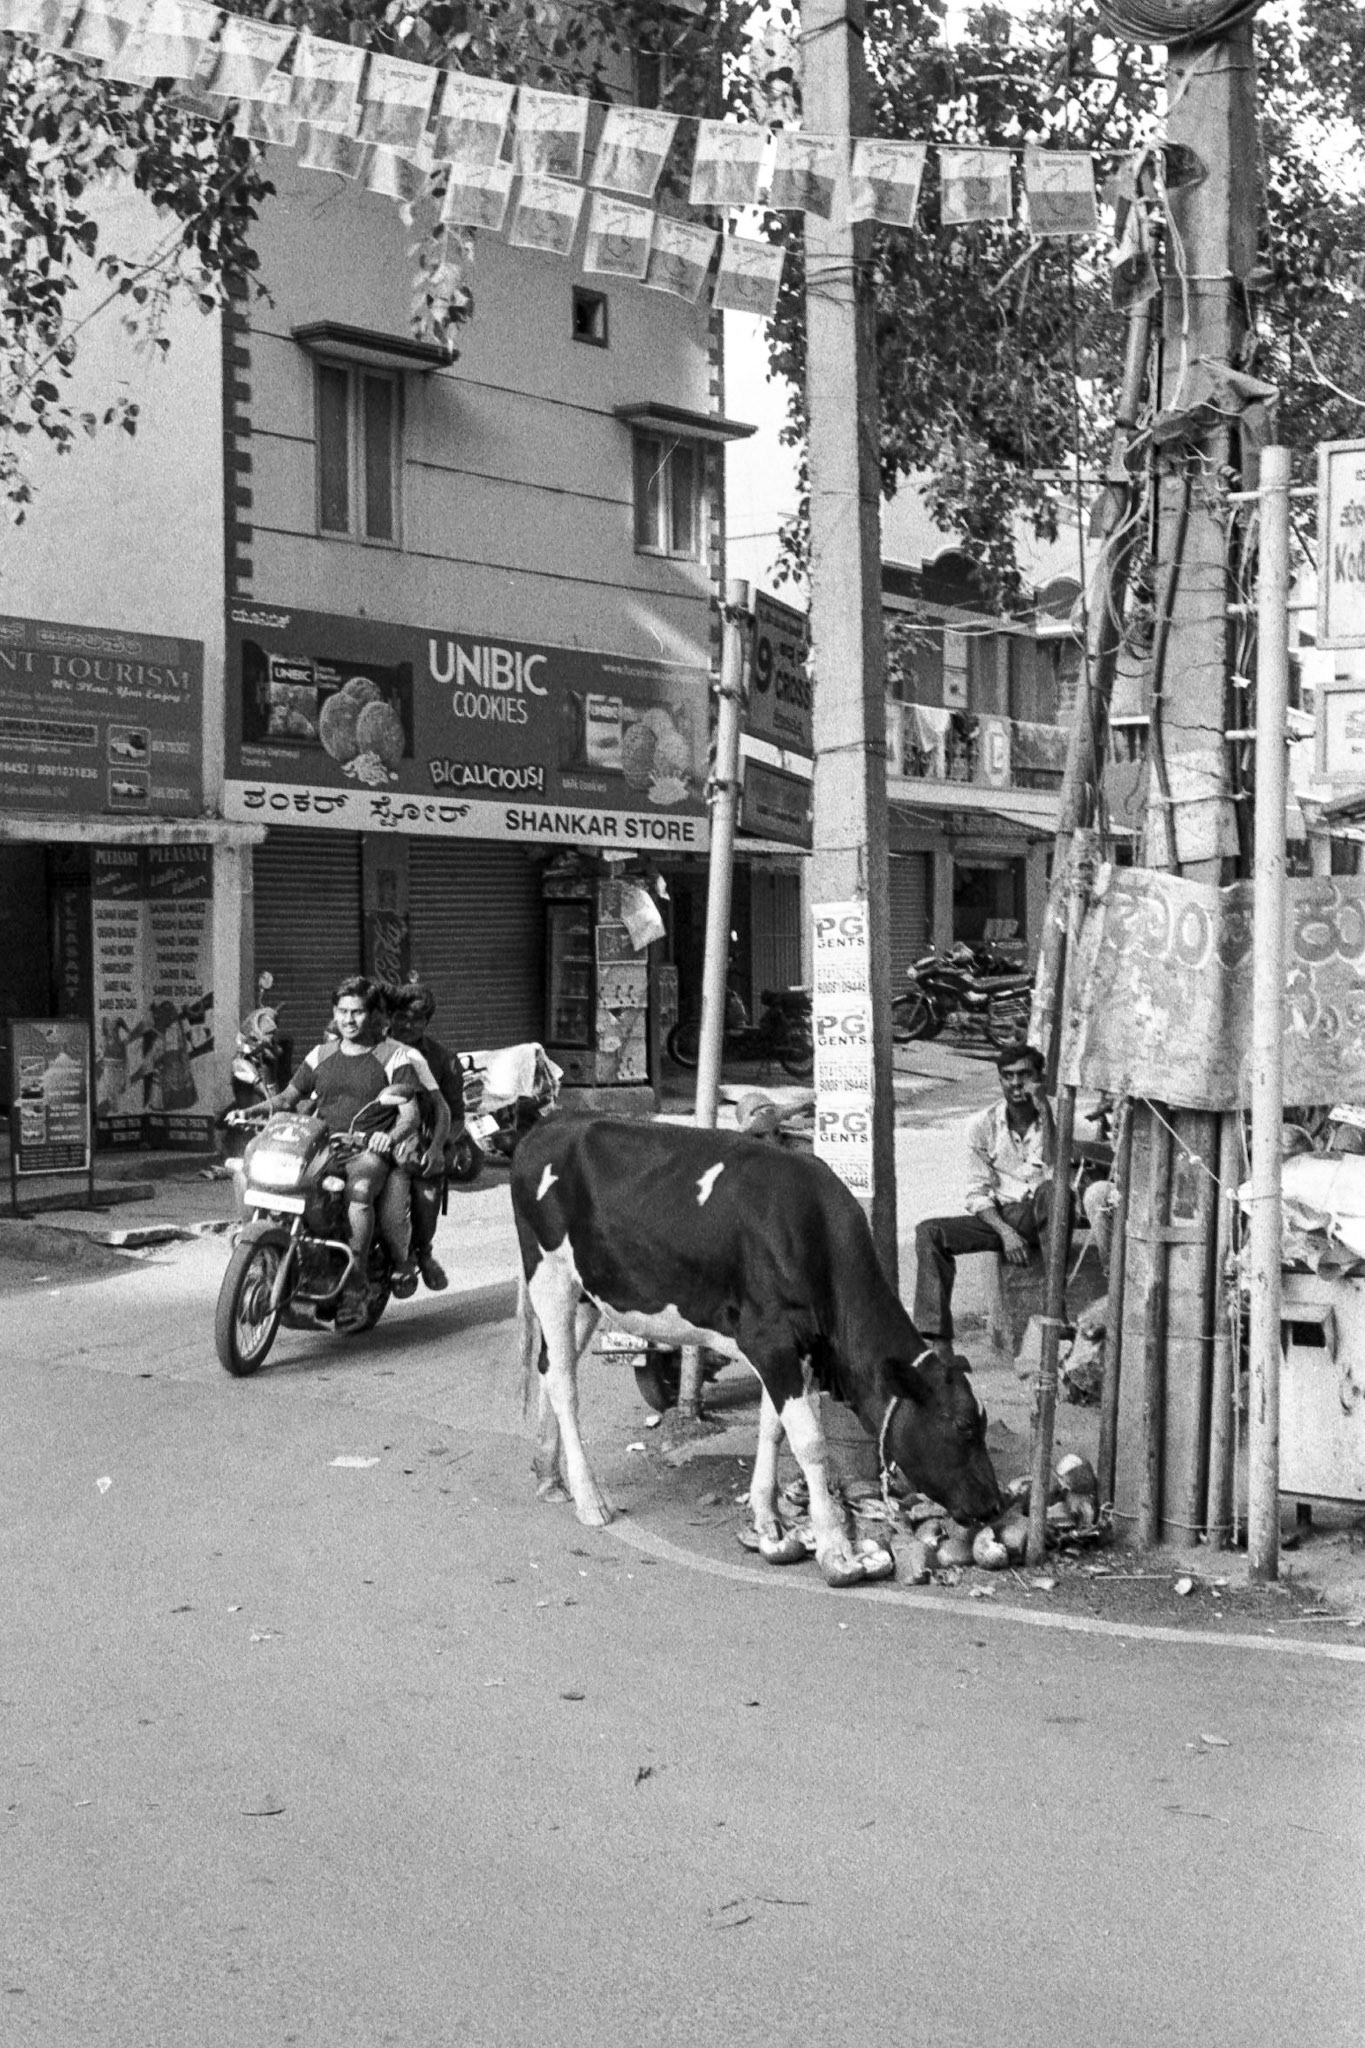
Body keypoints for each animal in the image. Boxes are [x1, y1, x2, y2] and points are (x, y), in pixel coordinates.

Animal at [511, 1116, 1002, 1588]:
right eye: (962, 1426)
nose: (995, 1504)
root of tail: (550, 1125)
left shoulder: (790, 1349)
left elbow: (773, 1428)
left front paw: (769, 1518)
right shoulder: (771, 1341)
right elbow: (810, 1442)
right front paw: (834, 1549)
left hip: (586, 1293)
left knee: (549, 1366)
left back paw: (548, 1476)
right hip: (550, 1275)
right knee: (563, 1383)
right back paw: (589, 1500)